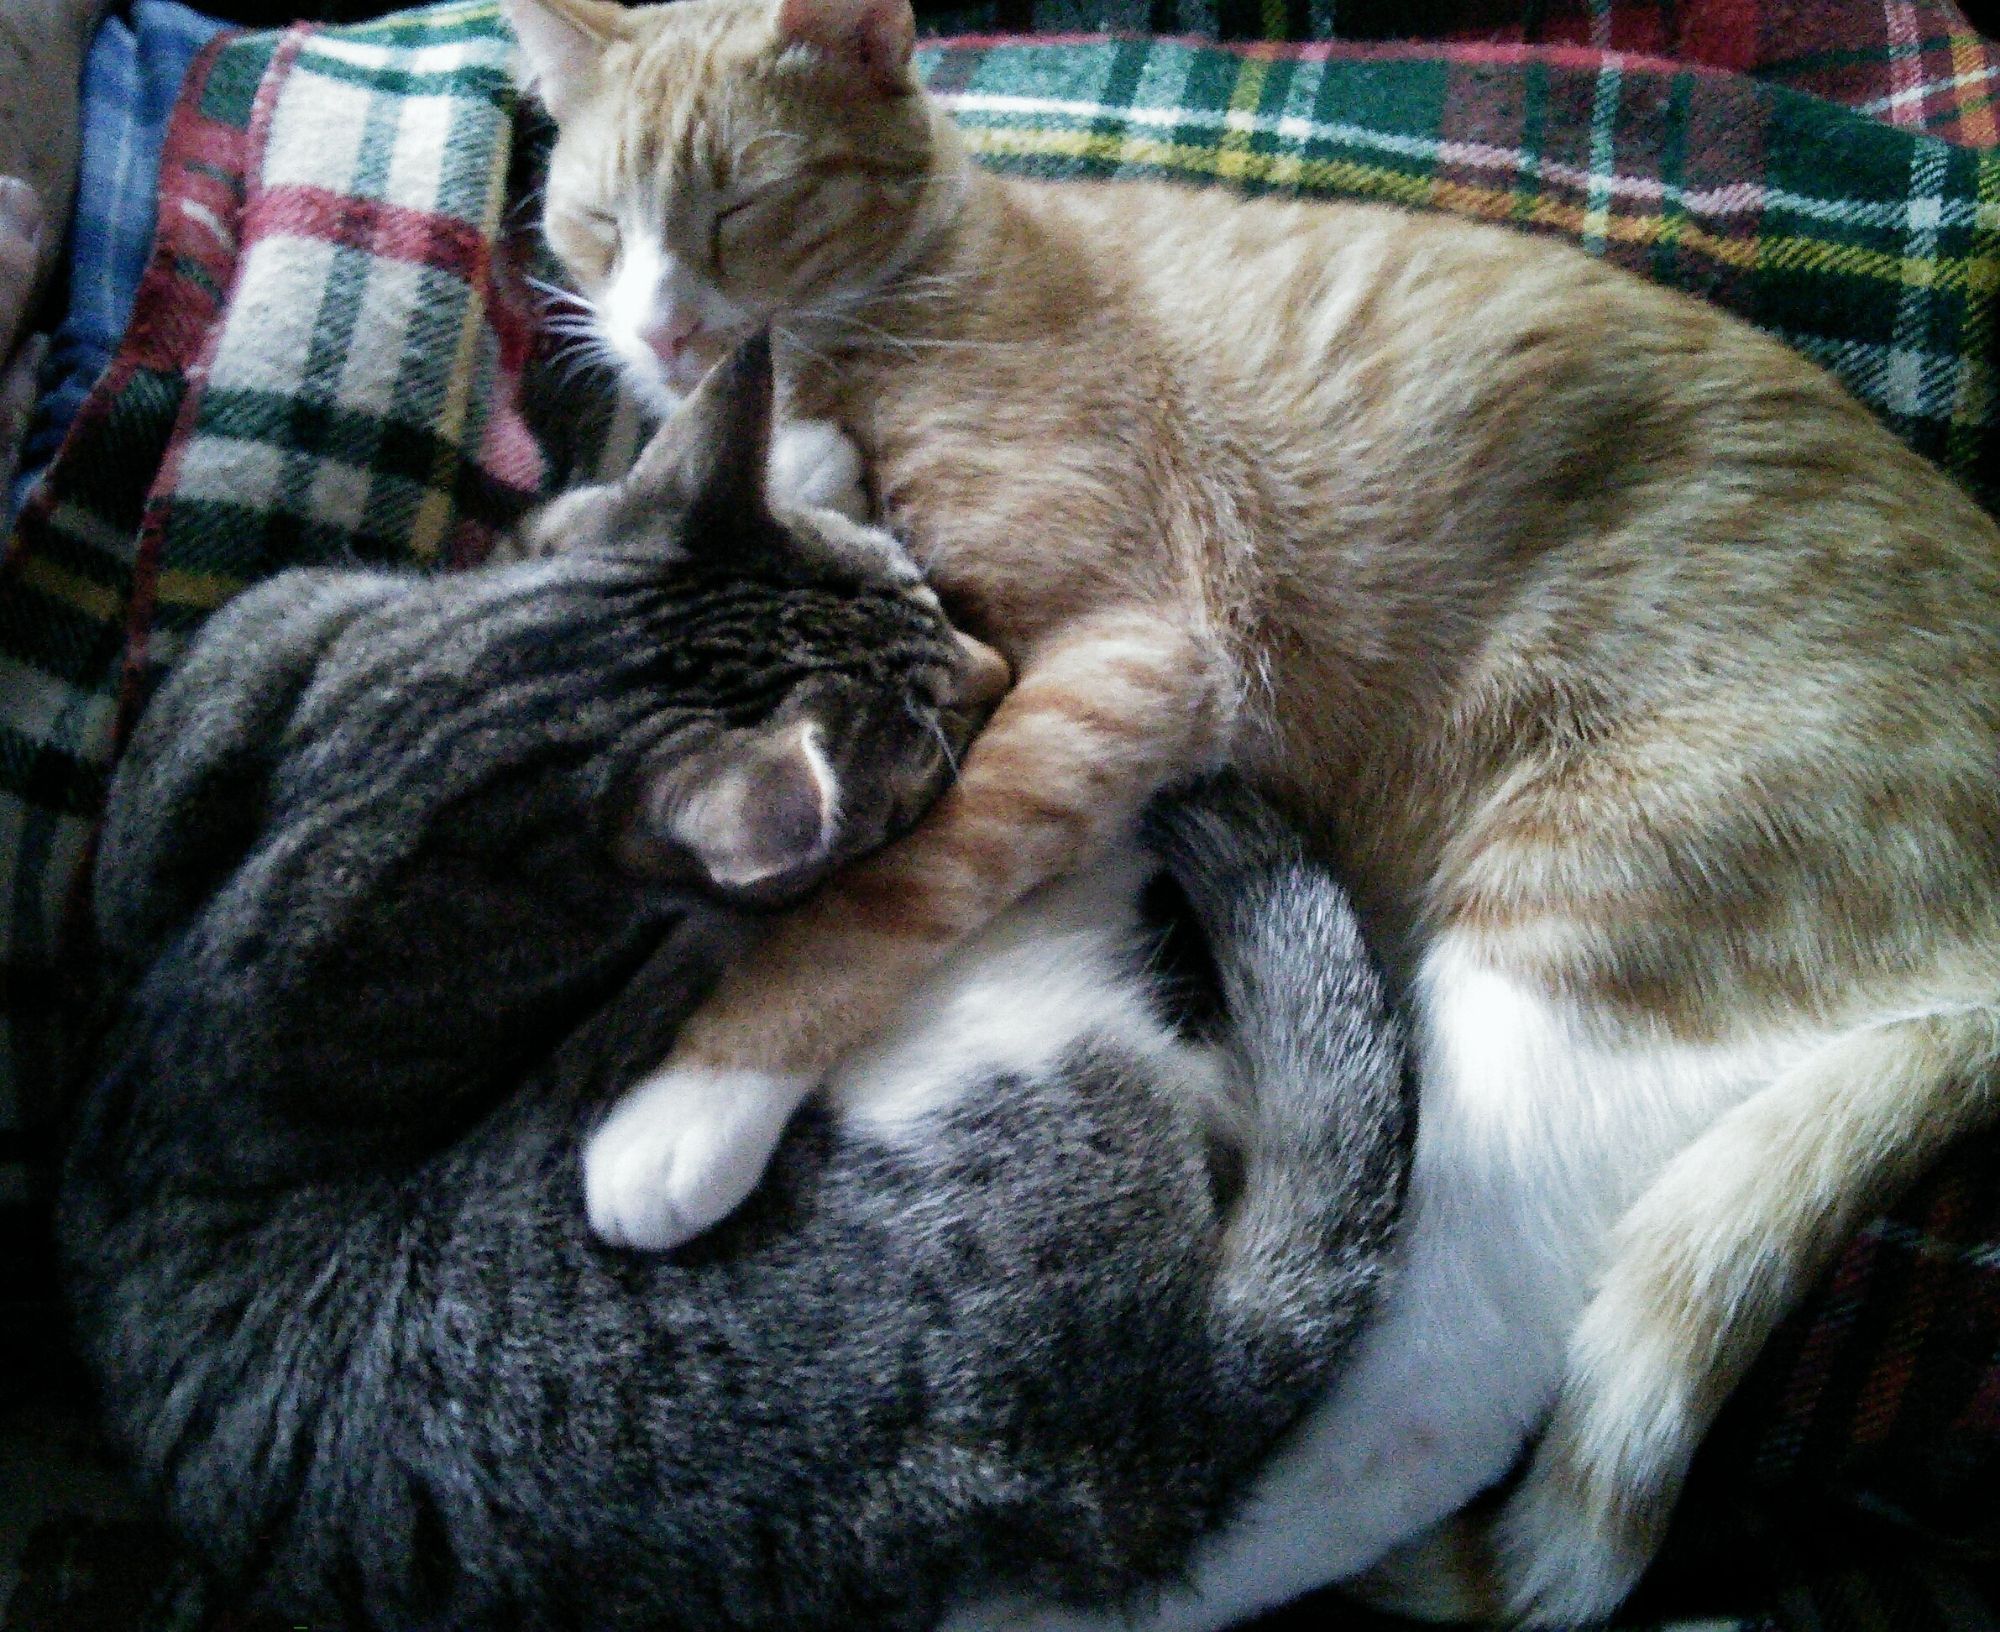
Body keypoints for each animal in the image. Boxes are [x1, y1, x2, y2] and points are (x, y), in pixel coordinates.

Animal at [504, 0, 2000, 1624]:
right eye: (596, 223)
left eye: (746, 206)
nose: (662, 332)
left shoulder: (1137, 654)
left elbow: (897, 890)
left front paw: (698, 1097)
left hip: (1561, 952)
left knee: (1407, 1396)